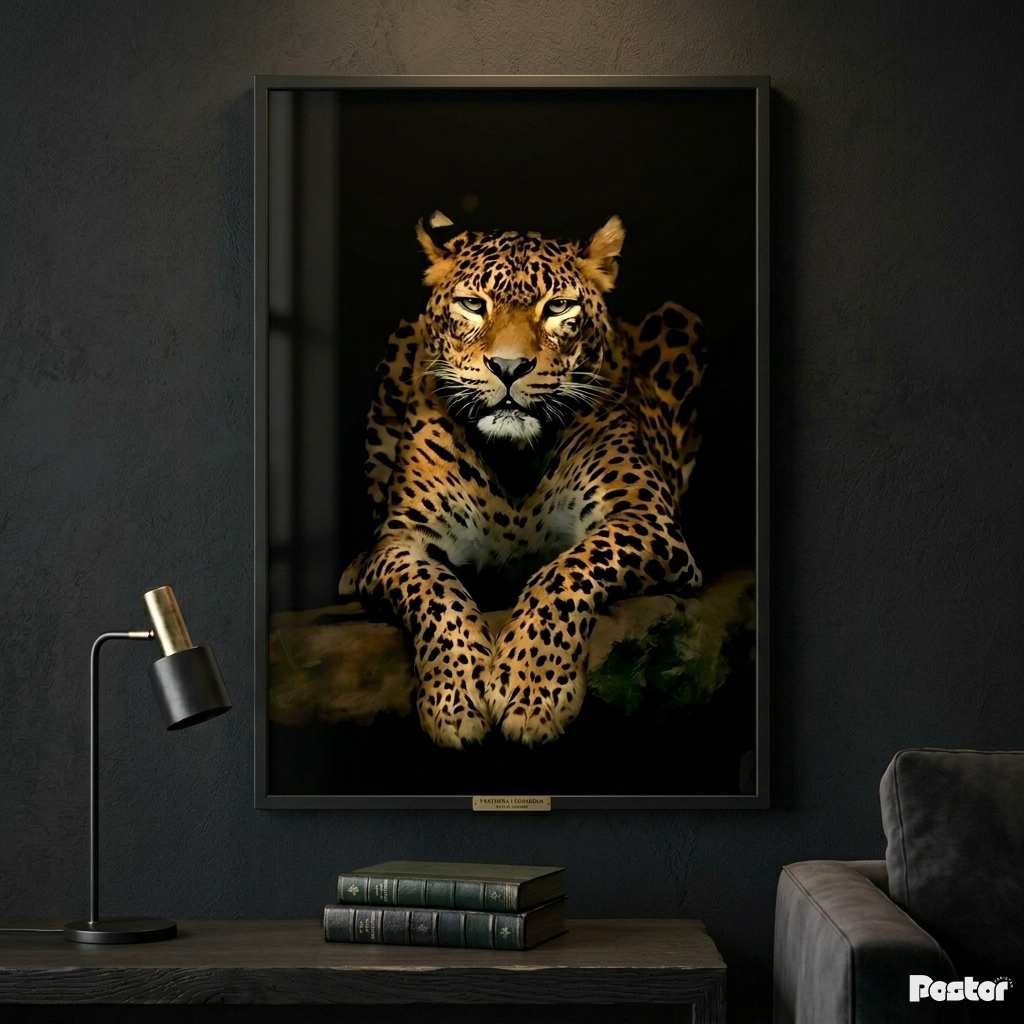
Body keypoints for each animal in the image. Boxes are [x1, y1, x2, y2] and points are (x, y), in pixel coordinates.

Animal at [339, 214, 706, 748]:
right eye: (473, 305)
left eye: (557, 307)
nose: (509, 367)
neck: (513, 459)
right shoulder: (402, 541)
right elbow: (434, 592)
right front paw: (456, 697)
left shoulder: (647, 518)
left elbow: (566, 571)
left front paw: (532, 690)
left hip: (680, 320)